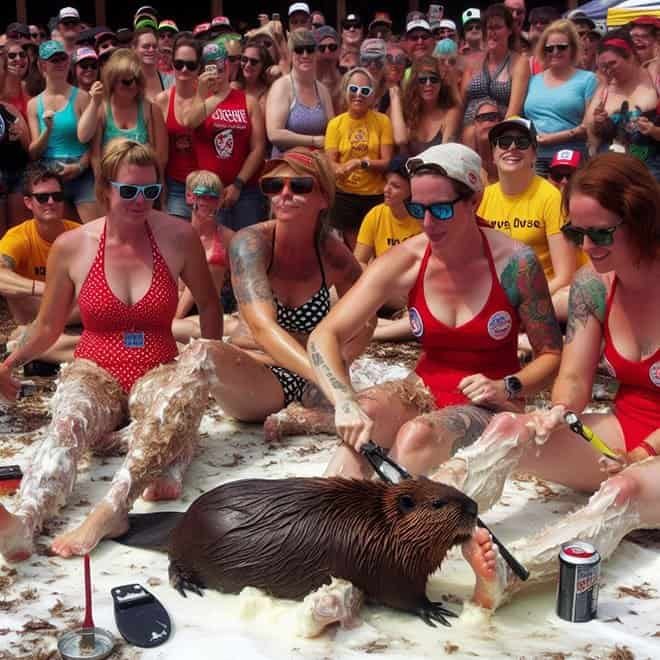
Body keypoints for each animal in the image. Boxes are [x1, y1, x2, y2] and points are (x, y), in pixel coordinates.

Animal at [116, 474, 476, 624]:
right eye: (438, 502)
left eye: (449, 489)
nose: (473, 507)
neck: (376, 526)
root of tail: (181, 520)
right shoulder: (382, 565)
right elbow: (400, 595)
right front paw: (435, 610)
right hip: (189, 548)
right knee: (174, 562)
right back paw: (187, 584)